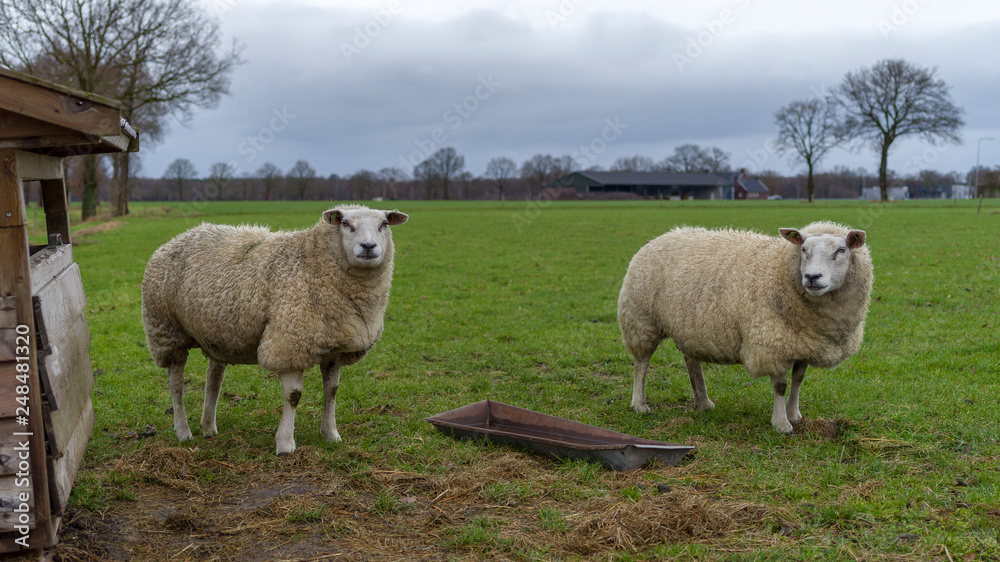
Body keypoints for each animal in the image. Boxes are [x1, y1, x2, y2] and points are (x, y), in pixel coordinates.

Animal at [142, 205, 408, 454]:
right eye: (345, 223)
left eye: (384, 224)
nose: (368, 246)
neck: (313, 261)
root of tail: (180, 236)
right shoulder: (288, 343)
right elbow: (294, 396)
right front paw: (285, 443)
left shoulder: (334, 349)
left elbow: (332, 390)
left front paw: (331, 434)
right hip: (165, 330)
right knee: (176, 383)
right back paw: (183, 431)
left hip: (219, 333)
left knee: (214, 379)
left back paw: (208, 427)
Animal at [617, 221, 873, 433]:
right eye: (803, 250)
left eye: (841, 250)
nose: (811, 277)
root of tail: (665, 235)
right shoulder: (771, 343)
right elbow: (780, 386)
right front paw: (781, 424)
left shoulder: (802, 343)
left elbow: (798, 380)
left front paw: (794, 414)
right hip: (641, 320)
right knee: (641, 364)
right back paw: (639, 404)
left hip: (691, 327)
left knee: (692, 361)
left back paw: (703, 402)